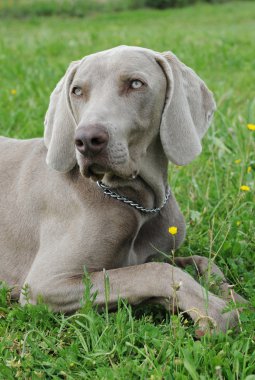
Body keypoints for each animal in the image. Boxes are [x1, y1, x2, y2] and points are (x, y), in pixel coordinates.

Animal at [0, 45, 245, 332]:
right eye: (77, 90)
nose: (86, 140)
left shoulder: (163, 252)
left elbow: (202, 261)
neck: (137, 200)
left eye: (136, 84)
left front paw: (234, 297)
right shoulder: (44, 284)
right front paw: (215, 309)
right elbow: (156, 271)